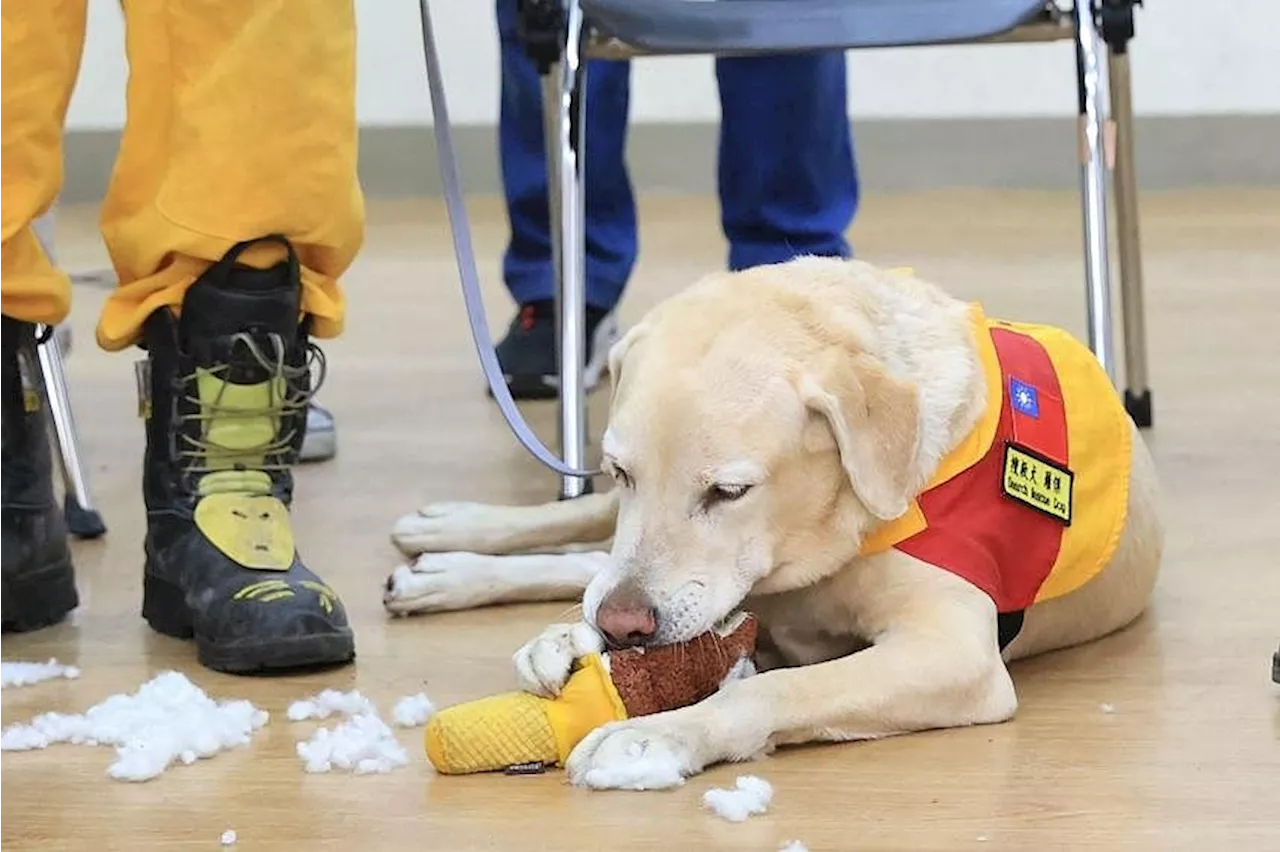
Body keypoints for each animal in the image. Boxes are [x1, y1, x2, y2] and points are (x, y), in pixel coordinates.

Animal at [381, 255, 1162, 788]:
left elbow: (772, 685)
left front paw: (654, 737)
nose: (623, 628)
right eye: (622, 471)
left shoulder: (955, 653)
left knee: (586, 562)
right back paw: (450, 549)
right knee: (580, 544)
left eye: (729, 492)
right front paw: (567, 639)